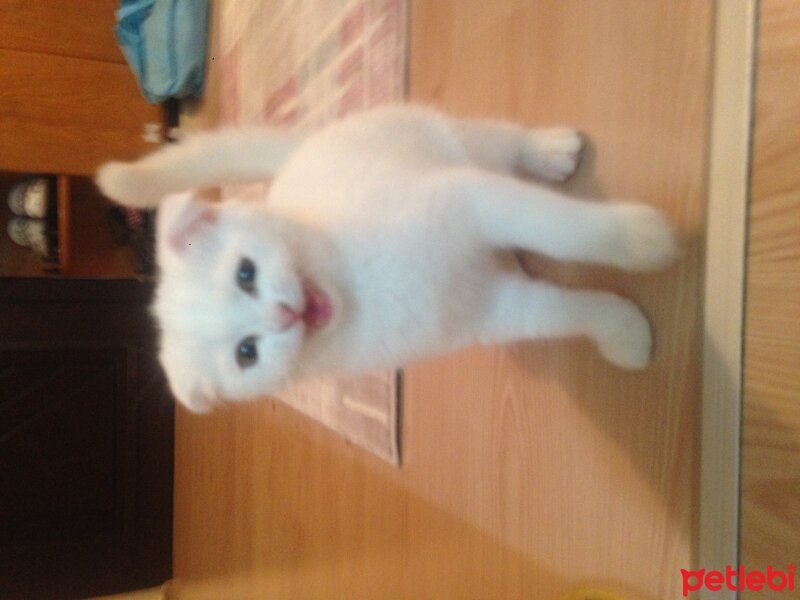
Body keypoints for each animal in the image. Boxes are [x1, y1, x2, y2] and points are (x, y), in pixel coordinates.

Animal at [97, 105, 680, 412]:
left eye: (246, 273)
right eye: (247, 353)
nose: (286, 314)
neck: (360, 294)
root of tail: (298, 157)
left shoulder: (467, 199)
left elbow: (560, 228)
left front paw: (641, 239)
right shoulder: (493, 311)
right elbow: (566, 312)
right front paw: (625, 334)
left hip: (445, 141)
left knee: (498, 143)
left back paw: (550, 150)